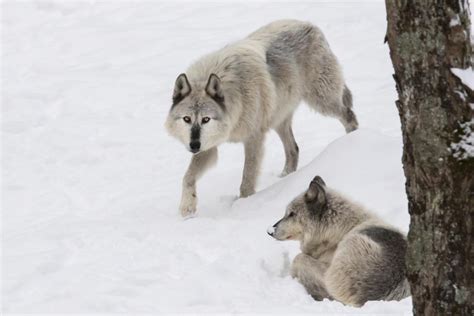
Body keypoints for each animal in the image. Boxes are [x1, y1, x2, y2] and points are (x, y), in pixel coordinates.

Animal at [165, 20, 358, 217]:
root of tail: (310, 25)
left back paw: (353, 140)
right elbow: (188, 177)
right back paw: (284, 177)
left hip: (322, 102)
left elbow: (247, 178)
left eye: (206, 119)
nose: (193, 145)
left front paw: (243, 204)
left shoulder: (253, 139)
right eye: (187, 119)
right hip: (279, 120)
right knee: (293, 149)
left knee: (349, 115)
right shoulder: (208, 145)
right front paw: (187, 208)